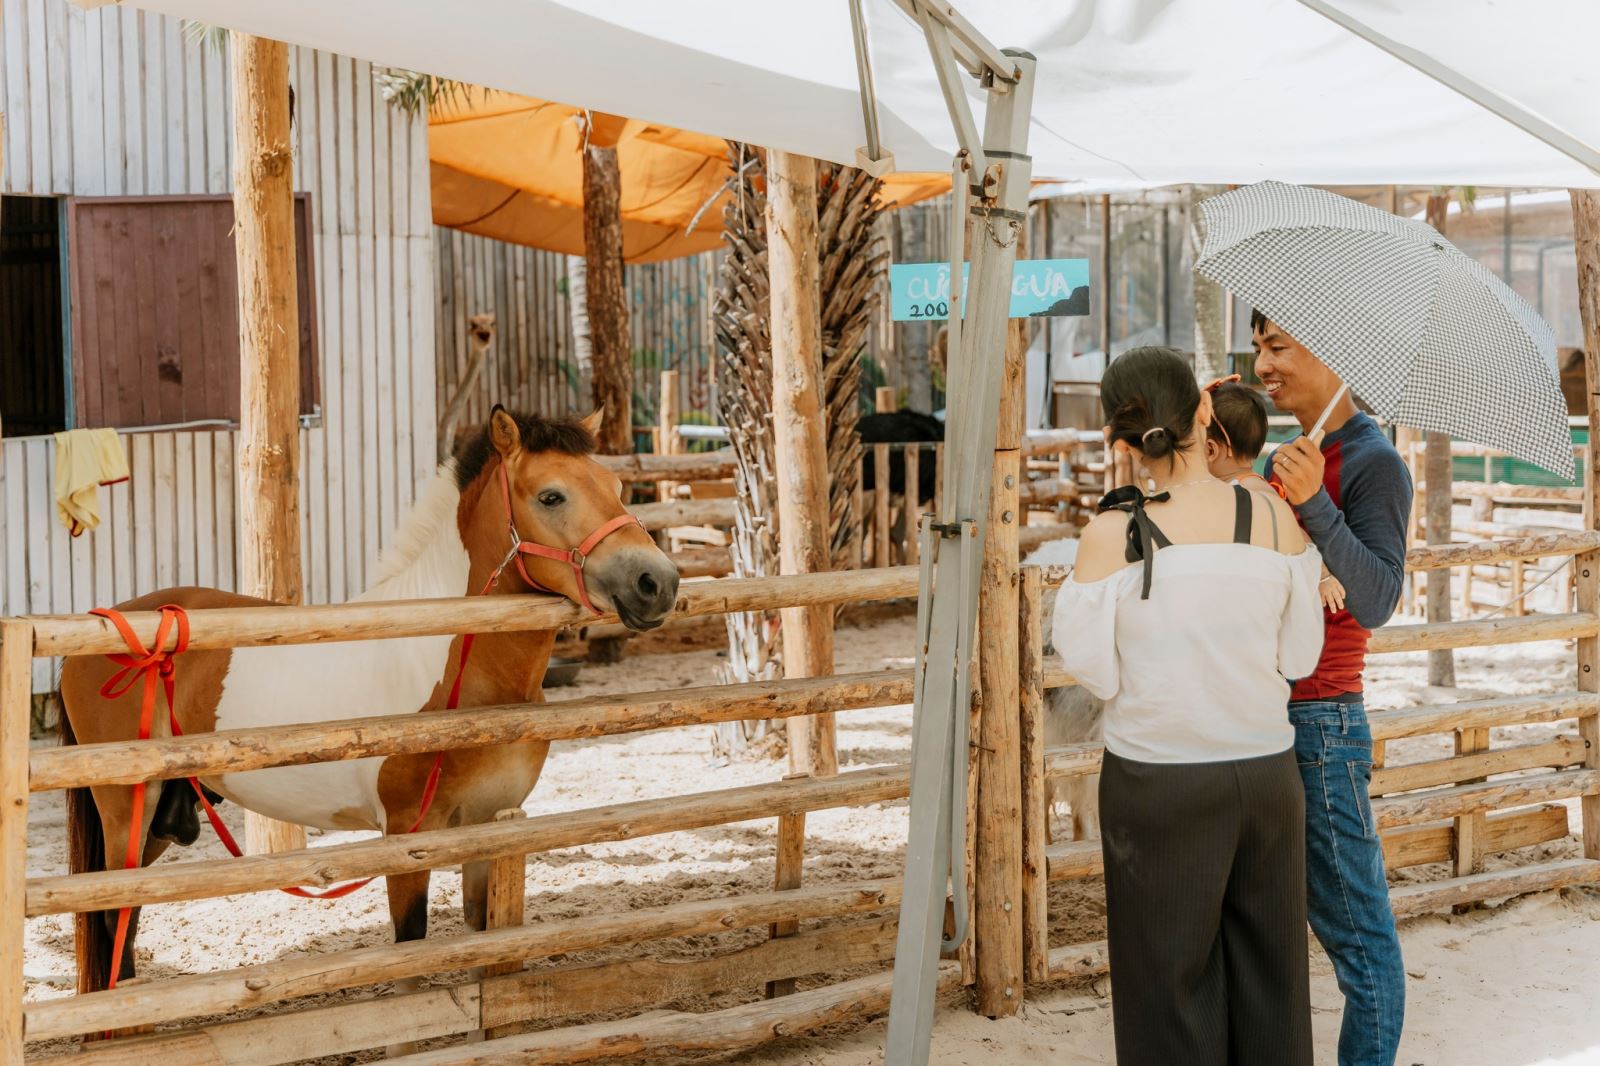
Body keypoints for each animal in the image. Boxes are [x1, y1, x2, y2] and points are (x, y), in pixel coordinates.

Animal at [58, 404, 675, 998]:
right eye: (551, 495)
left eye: (615, 487)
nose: (658, 582)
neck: (454, 675)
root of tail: (98, 626)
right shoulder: (407, 836)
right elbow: (410, 956)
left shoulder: (489, 826)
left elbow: (481, 943)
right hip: (127, 813)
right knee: (114, 917)